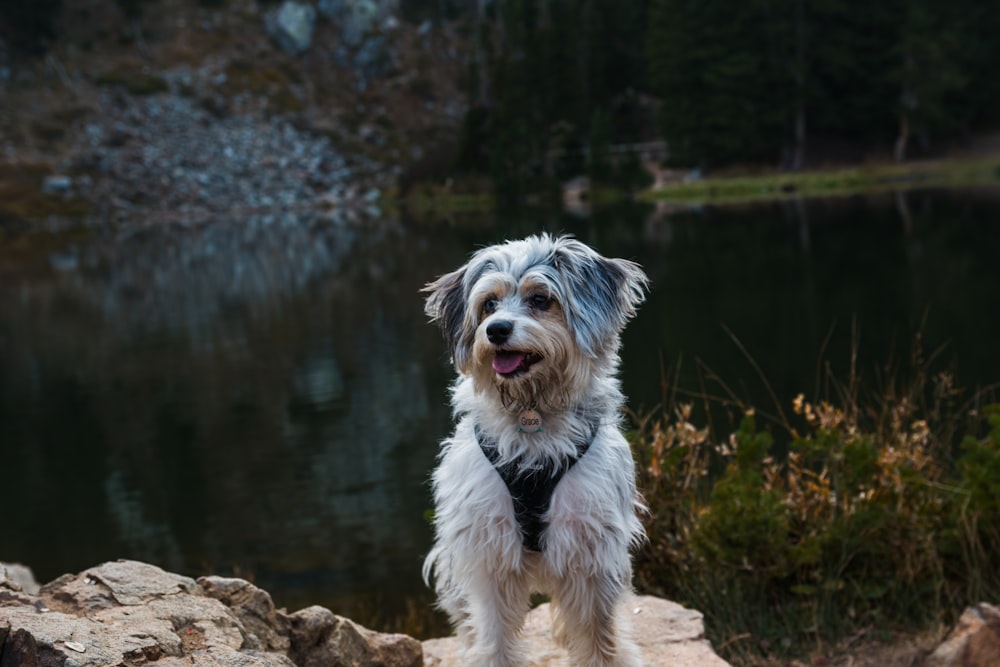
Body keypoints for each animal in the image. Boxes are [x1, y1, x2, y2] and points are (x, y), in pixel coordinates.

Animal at [422, 232, 648, 664]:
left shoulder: (591, 553)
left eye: (541, 299)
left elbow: (600, 639)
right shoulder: (488, 552)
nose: (496, 330)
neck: (532, 413)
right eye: (489, 304)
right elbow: (493, 638)